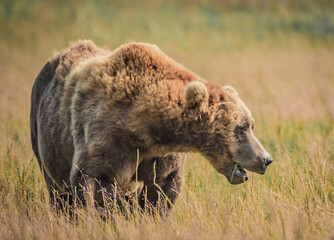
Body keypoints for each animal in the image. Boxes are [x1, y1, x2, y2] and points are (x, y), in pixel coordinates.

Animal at [30, 40, 272, 211]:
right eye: (242, 127)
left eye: (251, 125)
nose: (266, 159)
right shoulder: (105, 135)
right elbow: (96, 180)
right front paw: (119, 214)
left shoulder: (159, 154)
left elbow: (163, 186)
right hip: (45, 137)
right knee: (58, 192)